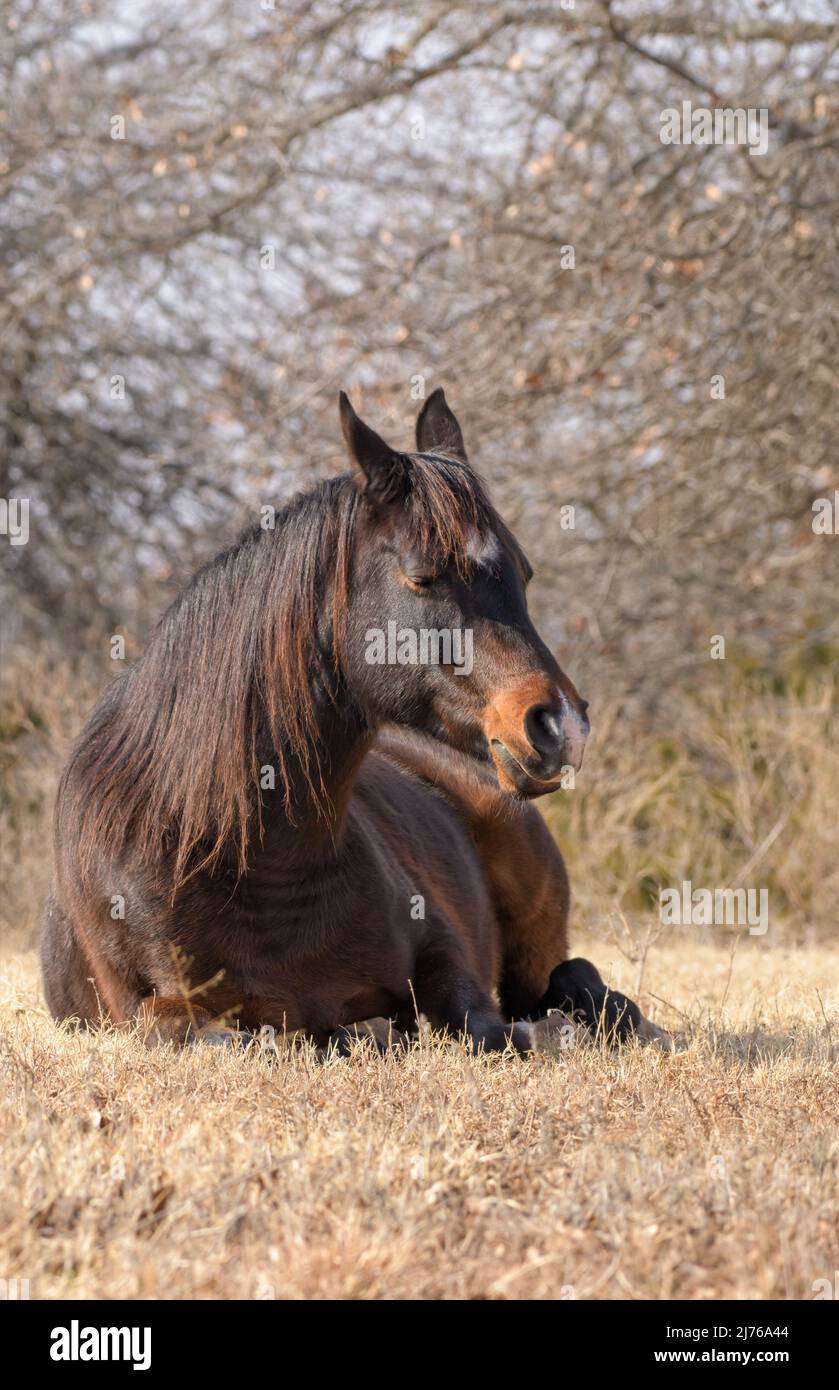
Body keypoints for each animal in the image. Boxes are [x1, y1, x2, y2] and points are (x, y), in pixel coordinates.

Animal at [44, 391, 661, 1050]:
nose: (560, 726)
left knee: (572, 978)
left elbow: (478, 1024)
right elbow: (237, 1034)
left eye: (523, 575)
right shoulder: (143, 1009)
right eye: (422, 576)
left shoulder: (447, 957)